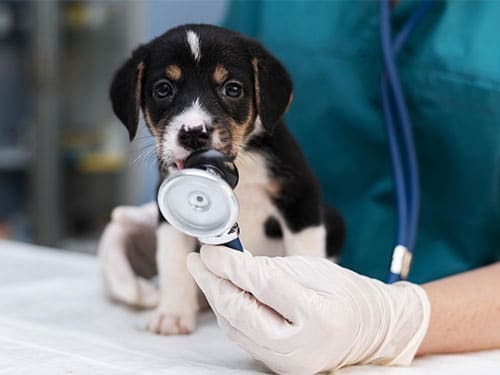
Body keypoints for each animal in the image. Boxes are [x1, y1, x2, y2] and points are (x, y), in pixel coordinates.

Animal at [109, 23, 344, 334]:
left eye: (232, 88)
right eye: (163, 89)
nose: (193, 133)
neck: (240, 162)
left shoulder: (299, 197)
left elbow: (305, 256)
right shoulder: (167, 212)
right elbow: (173, 263)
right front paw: (173, 313)